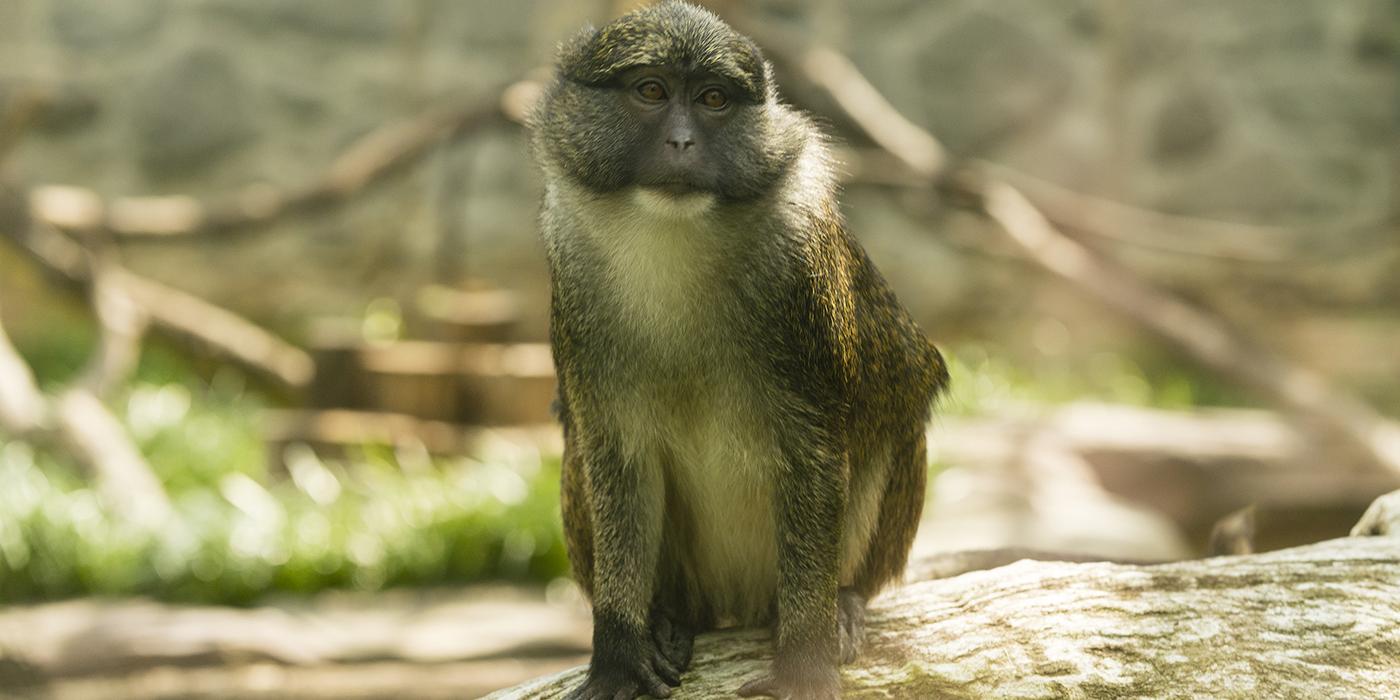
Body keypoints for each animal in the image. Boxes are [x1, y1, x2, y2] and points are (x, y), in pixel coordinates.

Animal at [529, 2, 946, 697]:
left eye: (714, 100)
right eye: (651, 91)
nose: (682, 143)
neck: (672, 242)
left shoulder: (801, 276)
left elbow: (814, 455)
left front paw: (806, 659)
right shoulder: (573, 267)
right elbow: (615, 456)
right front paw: (619, 650)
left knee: (895, 419)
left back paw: (843, 601)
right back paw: (667, 619)